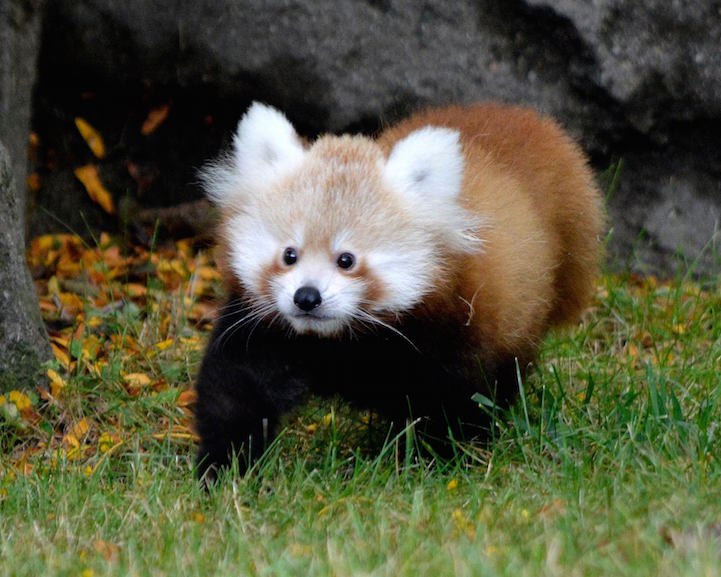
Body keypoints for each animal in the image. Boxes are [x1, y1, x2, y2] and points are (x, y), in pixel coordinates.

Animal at [194, 101, 604, 480]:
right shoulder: (268, 331)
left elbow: (453, 405)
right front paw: (223, 467)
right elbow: (238, 392)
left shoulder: (450, 336)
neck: (336, 345)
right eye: (289, 254)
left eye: (346, 259)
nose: (307, 297)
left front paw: (436, 464)